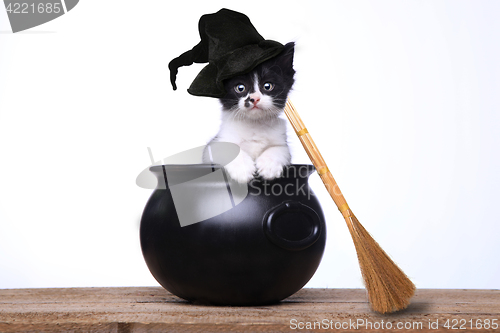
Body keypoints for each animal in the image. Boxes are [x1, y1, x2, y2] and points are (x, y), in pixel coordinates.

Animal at [204, 41, 294, 183]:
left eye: (267, 86)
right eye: (240, 88)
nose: (254, 98)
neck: (254, 125)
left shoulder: (281, 141)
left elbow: (280, 149)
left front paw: (269, 166)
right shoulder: (216, 143)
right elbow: (227, 148)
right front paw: (242, 169)